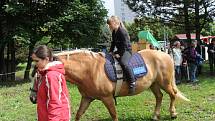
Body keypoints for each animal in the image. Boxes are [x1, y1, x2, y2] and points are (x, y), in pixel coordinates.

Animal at [55, 49, 190, 121]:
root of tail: (165, 54)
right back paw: (155, 116)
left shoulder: (107, 98)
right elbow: (79, 114)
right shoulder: (87, 98)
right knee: (159, 97)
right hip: (154, 84)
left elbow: (114, 115)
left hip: (164, 82)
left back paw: (173, 114)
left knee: (172, 95)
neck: (90, 69)